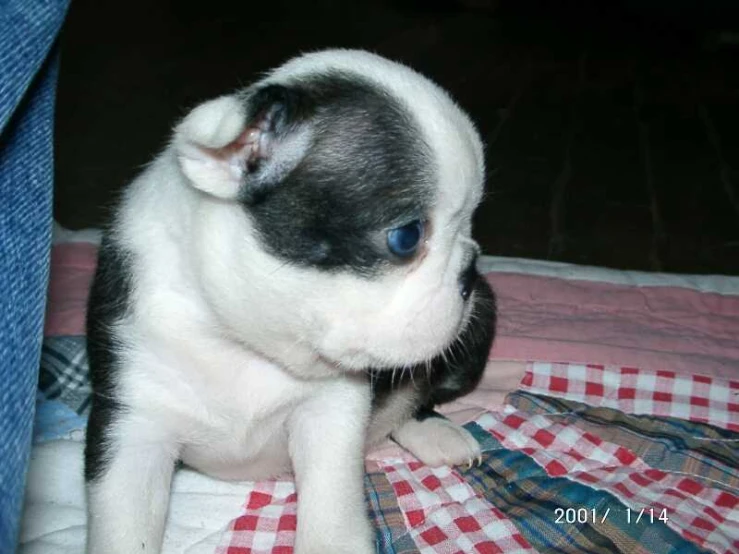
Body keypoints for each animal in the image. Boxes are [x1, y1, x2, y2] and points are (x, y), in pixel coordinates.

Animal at [86, 48, 498, 552]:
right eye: (406, 237)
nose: (470, 268)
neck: (241, 343)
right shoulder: (133, 425)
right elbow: (125, 525)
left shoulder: (330, 414)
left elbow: (332, 513)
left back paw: (435, 431)